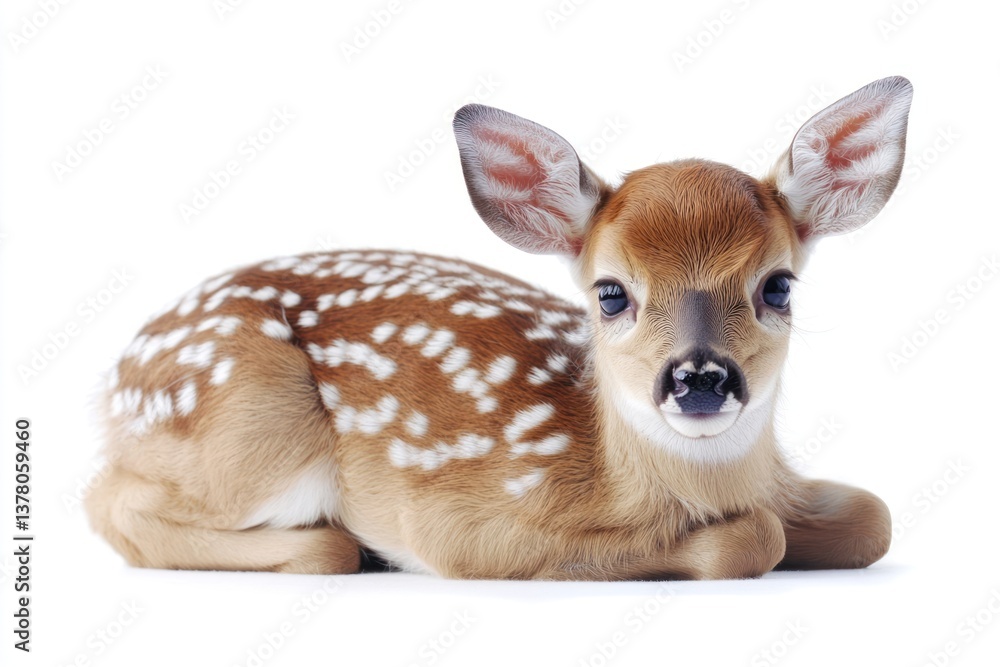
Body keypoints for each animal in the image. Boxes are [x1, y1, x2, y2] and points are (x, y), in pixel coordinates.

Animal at [86, 76, 912, 580]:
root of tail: (115, 383)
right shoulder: (469, 524)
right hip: (252, 426)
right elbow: (748, 539)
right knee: (114, 503)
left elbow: (874, 516)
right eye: (611, 293)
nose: (699, 378)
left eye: (778, 285)